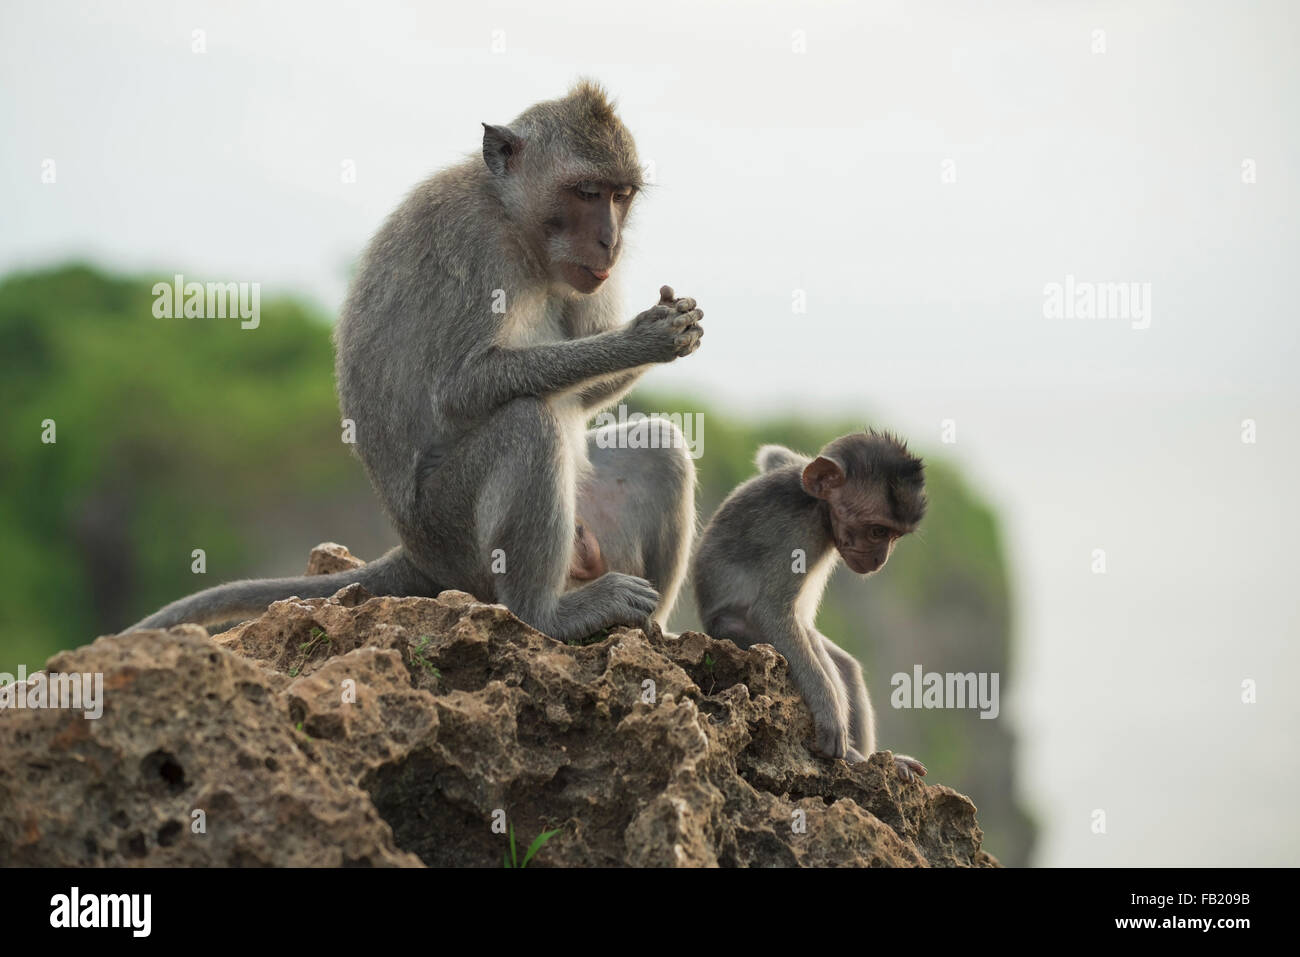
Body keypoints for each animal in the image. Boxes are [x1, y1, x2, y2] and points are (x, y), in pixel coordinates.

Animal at [124, 78, 702, 639]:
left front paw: (679, 324)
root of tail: (418, 554)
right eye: (586, 193)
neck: (516, 223)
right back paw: (547, 615)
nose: (611, 242)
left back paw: (657, 630)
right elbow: (461, 389)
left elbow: (587, 394)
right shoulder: (474, 242)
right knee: (527, 423)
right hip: (453, 533)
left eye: (620, 196)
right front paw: (645, 337)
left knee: (659, 444)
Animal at [696, 429, 930, 780]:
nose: (880, 560)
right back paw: (853, 755)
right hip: (736, 633)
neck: (820, 511)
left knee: (845, 665)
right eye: (878, 531)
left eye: (895, 536)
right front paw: (829, 715)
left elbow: (775, 456)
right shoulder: (797, 534)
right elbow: (771, 611)